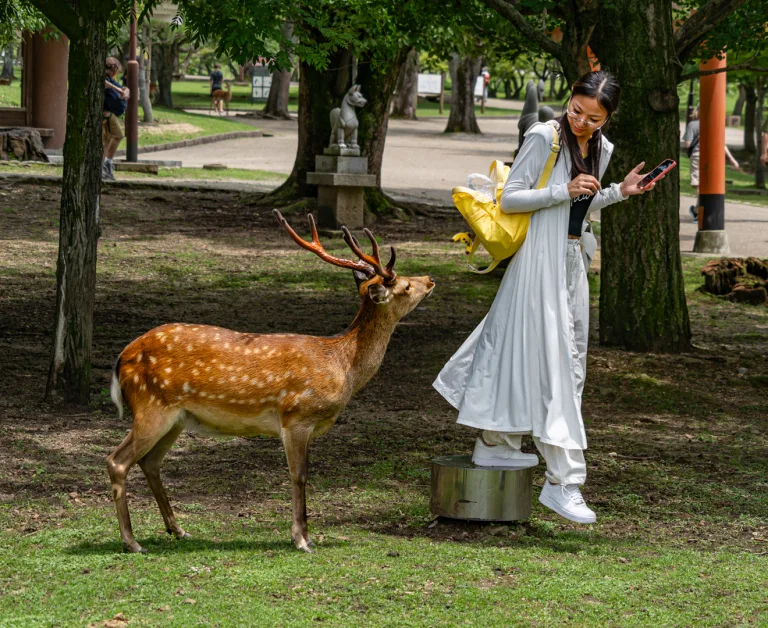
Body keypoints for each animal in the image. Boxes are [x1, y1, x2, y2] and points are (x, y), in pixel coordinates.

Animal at [106, 211, 435, 553]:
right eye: (406, 286)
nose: (430, 279)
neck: (342, 365)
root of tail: (121, 359)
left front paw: (305, 536)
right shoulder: (296, 416)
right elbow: (299, 475)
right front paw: (302, 539)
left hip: (177, 418)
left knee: (150, 462)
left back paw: (178, 529)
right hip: (151, 407)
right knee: (117, 461)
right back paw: (132, 541)